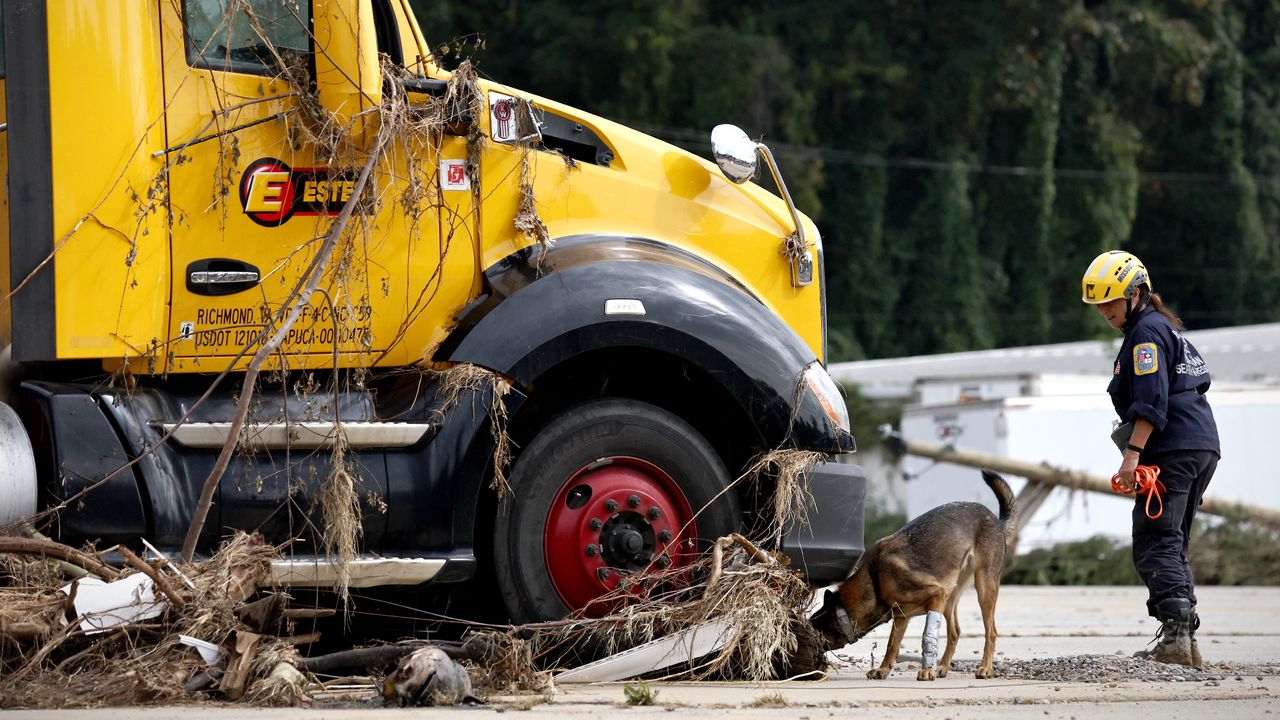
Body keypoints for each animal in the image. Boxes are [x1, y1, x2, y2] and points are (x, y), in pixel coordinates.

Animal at [814, 468, 1013, 676]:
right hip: (950, 597)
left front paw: (926, 671)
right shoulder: (902, 617)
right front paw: (883, 669)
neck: (875, 579)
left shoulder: (936, 596)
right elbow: (892, 644)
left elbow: (927, 637)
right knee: (955, 632)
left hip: (983, 589)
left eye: (815, 628)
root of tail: (997, 522)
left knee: (991, 632)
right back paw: (943, 666)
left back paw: (985, 667)